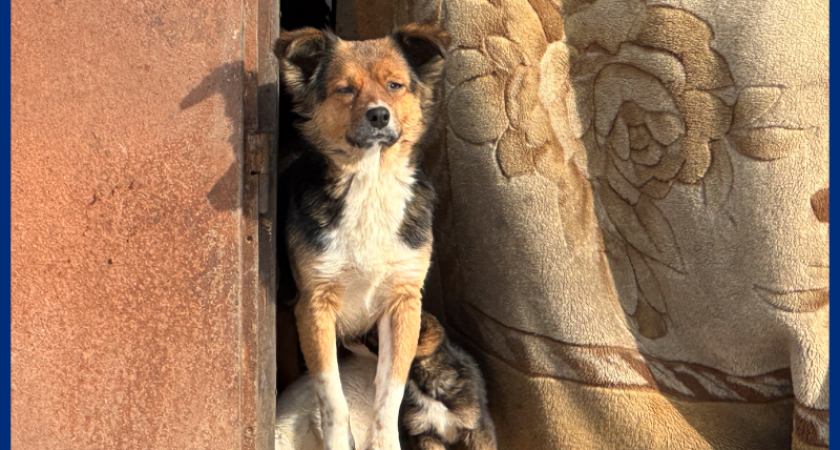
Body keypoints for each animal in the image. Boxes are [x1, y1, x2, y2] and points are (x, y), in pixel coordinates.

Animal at [274, 24, 446, 450]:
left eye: (395, 85)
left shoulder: (403, 304)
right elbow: (332, 397)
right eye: (345, 89)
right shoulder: (314, 306)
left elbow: (389, 395)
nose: (379, 114)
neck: (370, 181)